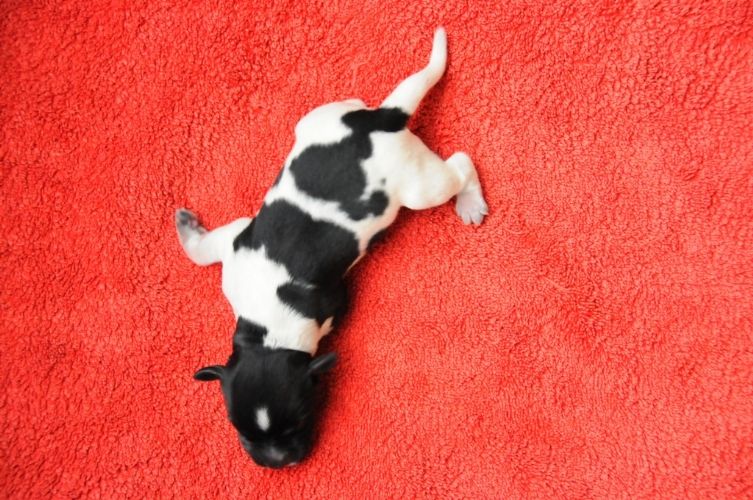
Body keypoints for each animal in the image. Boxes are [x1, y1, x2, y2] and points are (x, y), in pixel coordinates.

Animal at [175, 27, 487, 469]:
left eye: (299, 424)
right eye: (242, 432)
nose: (280, 463)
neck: (267, 329)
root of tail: (384, 119)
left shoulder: (329, 301)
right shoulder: (237, 240)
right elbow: (207, 247)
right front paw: (188, 230)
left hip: (419, 186)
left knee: (460, 164)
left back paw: (470, 201)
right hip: (318, 119)